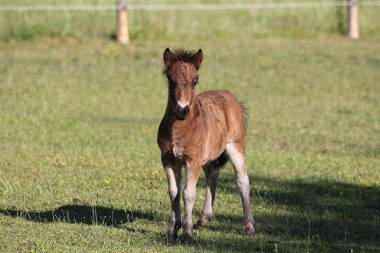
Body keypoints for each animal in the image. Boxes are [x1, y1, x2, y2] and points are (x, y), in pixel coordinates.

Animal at [157, 48, 255, 241]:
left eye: (195, 81)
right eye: (171, 80)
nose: (182, 110)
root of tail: (230, 96)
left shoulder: (193, 160)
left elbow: (188, 193)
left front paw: (187, 232)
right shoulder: (168, 159)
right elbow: (174, 192)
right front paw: (173, 230)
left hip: (236, 147)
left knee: (242, 182)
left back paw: (249, 227)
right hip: (210, 156)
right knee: (212, 176)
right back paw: (203, 220)